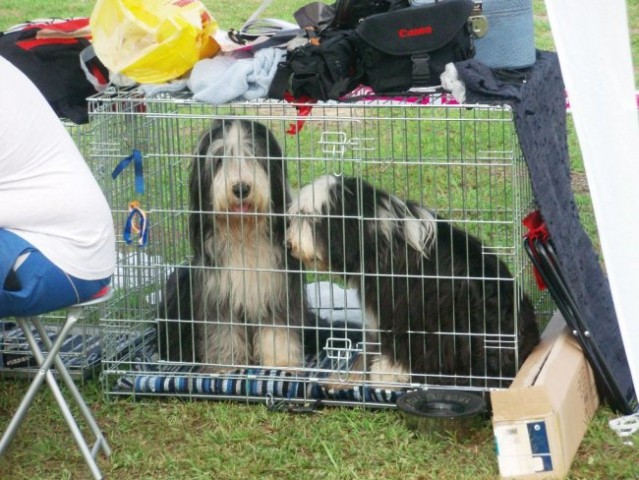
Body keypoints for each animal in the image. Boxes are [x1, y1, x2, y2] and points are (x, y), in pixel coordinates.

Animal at [158, 120, 318, 372]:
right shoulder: (218, 292)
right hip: (179, 280)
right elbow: (224, 331)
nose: (241, 189)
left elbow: (279, 330)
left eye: (253, 156)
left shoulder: (277, 288)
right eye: (220, 159)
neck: (243, 233)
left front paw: (280, 363)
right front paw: (227, 365)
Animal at [288, 174, 544, 388]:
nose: (289, 245)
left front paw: (385, 376)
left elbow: (396, 347)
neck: (378, 237)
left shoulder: (400, 311)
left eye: (308, 218)